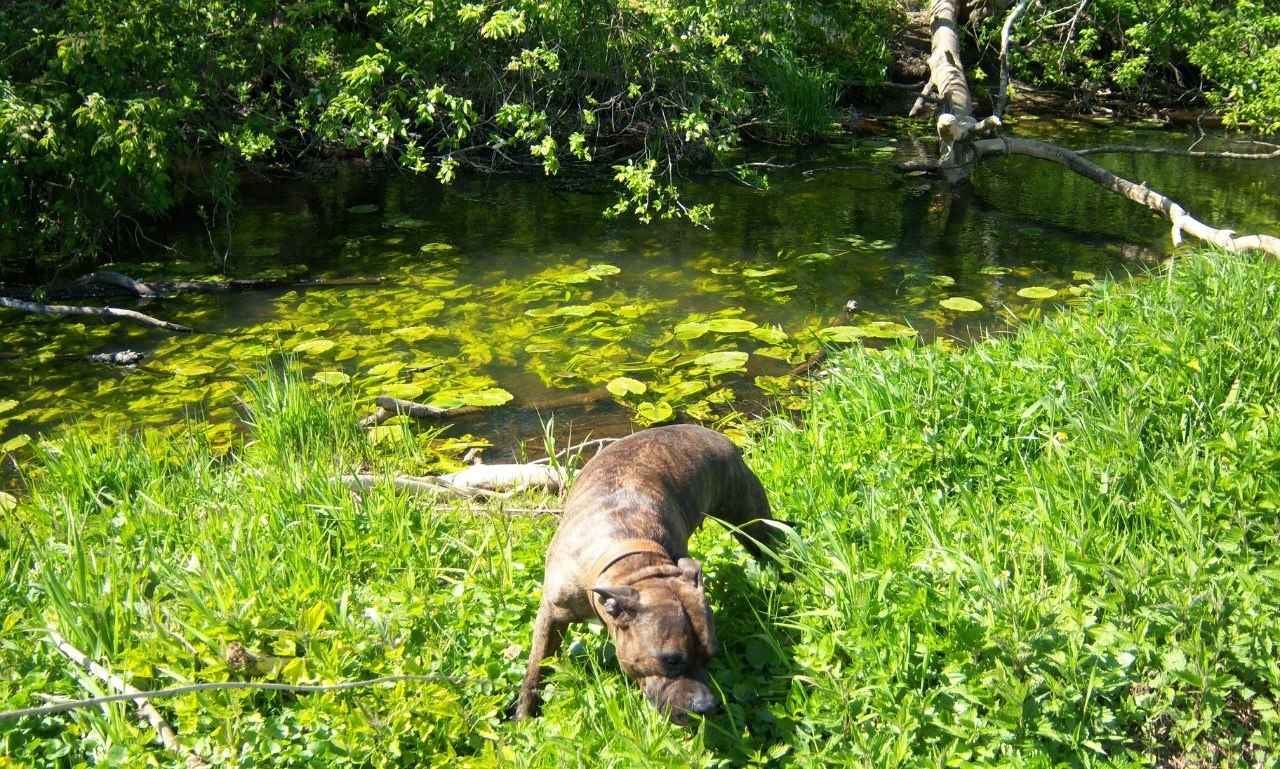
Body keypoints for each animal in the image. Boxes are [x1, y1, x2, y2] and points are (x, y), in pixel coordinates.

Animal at [514, 422, 773, 721]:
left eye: (710, 655)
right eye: (670, 661)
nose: (705, 706)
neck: (635, 563)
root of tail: (717, 434)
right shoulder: (551, 613)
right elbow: (536, 666)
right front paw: (524, 715)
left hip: (750, 521)